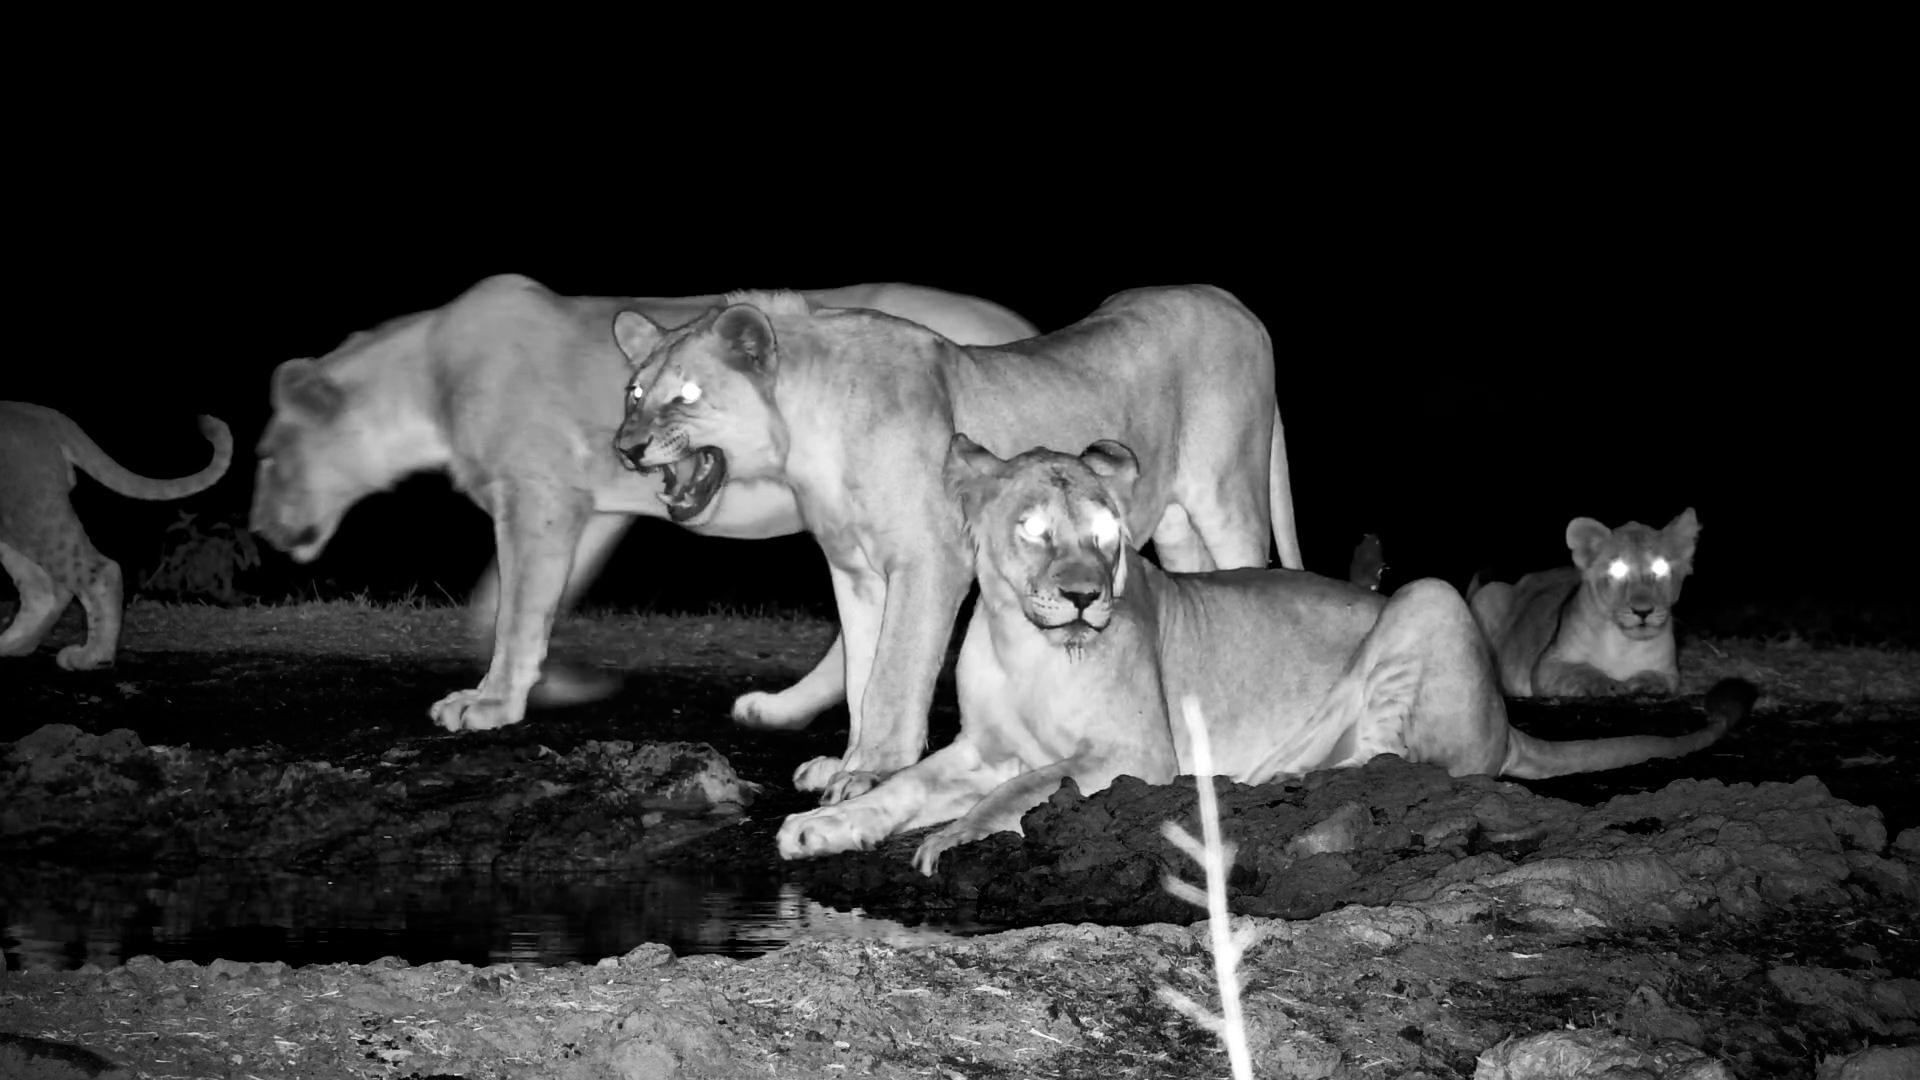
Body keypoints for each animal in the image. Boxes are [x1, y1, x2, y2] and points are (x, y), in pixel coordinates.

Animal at [1, 402, 232, 669]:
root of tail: (41, 413)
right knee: (42, 589)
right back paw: (11, 645)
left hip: (31, 510)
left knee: (100, 572)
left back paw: (92, 656)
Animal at [249, 275, 1037, 733]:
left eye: (266, 457)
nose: (257, 531)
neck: (424, 381)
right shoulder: (594, 507)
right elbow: (502, 606)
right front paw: (559, 685)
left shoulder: (539, 496)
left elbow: (513, 610)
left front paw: (492, 704)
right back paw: (780, 709)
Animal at [614, 286, 1304, 805]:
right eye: (635, 393)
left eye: (687, 395)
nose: (625, 448)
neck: (804, 435)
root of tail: (1232, 303)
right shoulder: (855, 572)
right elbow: (862, 671)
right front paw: (847, 760)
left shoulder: (928, 561)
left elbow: (894, 673)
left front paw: (871, 772)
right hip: (1180, 525)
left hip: (1228, 496)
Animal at [1467, 510, 1700, 697]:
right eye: (1617, 569)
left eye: (1661, 568)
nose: (1643, 611)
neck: (1624, 645)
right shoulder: (1547, 665)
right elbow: (1581, 671)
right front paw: (1609, 685)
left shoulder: (1670, 672)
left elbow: (1659, 677)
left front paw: (1644, 683)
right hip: (1490, 593)